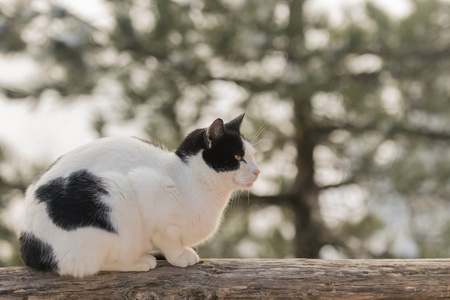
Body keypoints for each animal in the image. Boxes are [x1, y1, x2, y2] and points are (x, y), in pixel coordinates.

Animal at [18, 113, 260, 278]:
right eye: (238, 157)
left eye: (253, 156)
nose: (258, 171)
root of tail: (28, 240)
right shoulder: (149, 195)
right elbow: (168, 239)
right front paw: (180, 256)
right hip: (115, 196)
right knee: (86, 265)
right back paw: (139, 261)